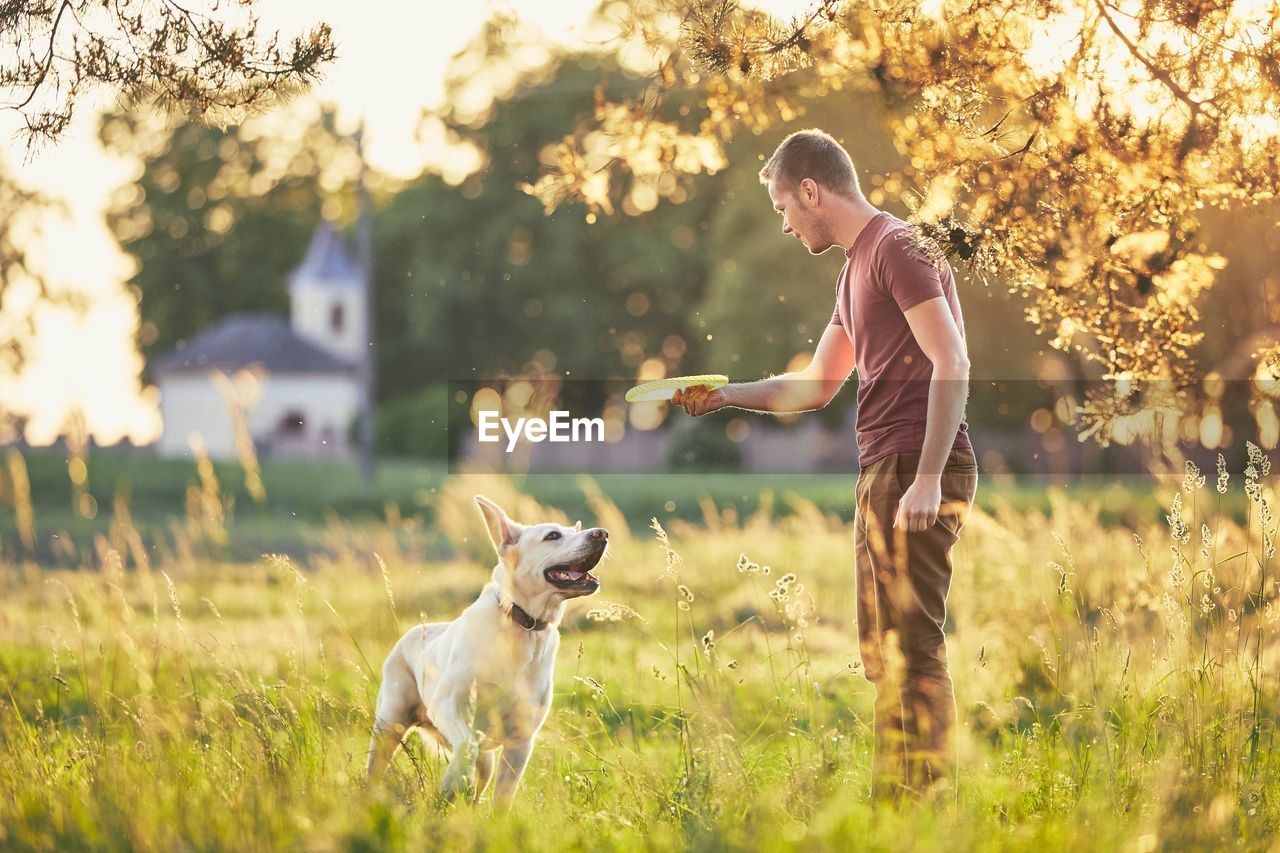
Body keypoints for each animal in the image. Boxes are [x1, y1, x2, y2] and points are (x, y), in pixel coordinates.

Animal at [368, 491, 606, 804]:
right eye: (552, 535)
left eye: (573, 530)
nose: (602, 533)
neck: (522, 626)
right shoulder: (449, 705)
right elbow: (467, 744)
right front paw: (453, 780)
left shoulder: (520, 742)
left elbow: (501, 799)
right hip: (388, 725)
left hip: (485, 759)